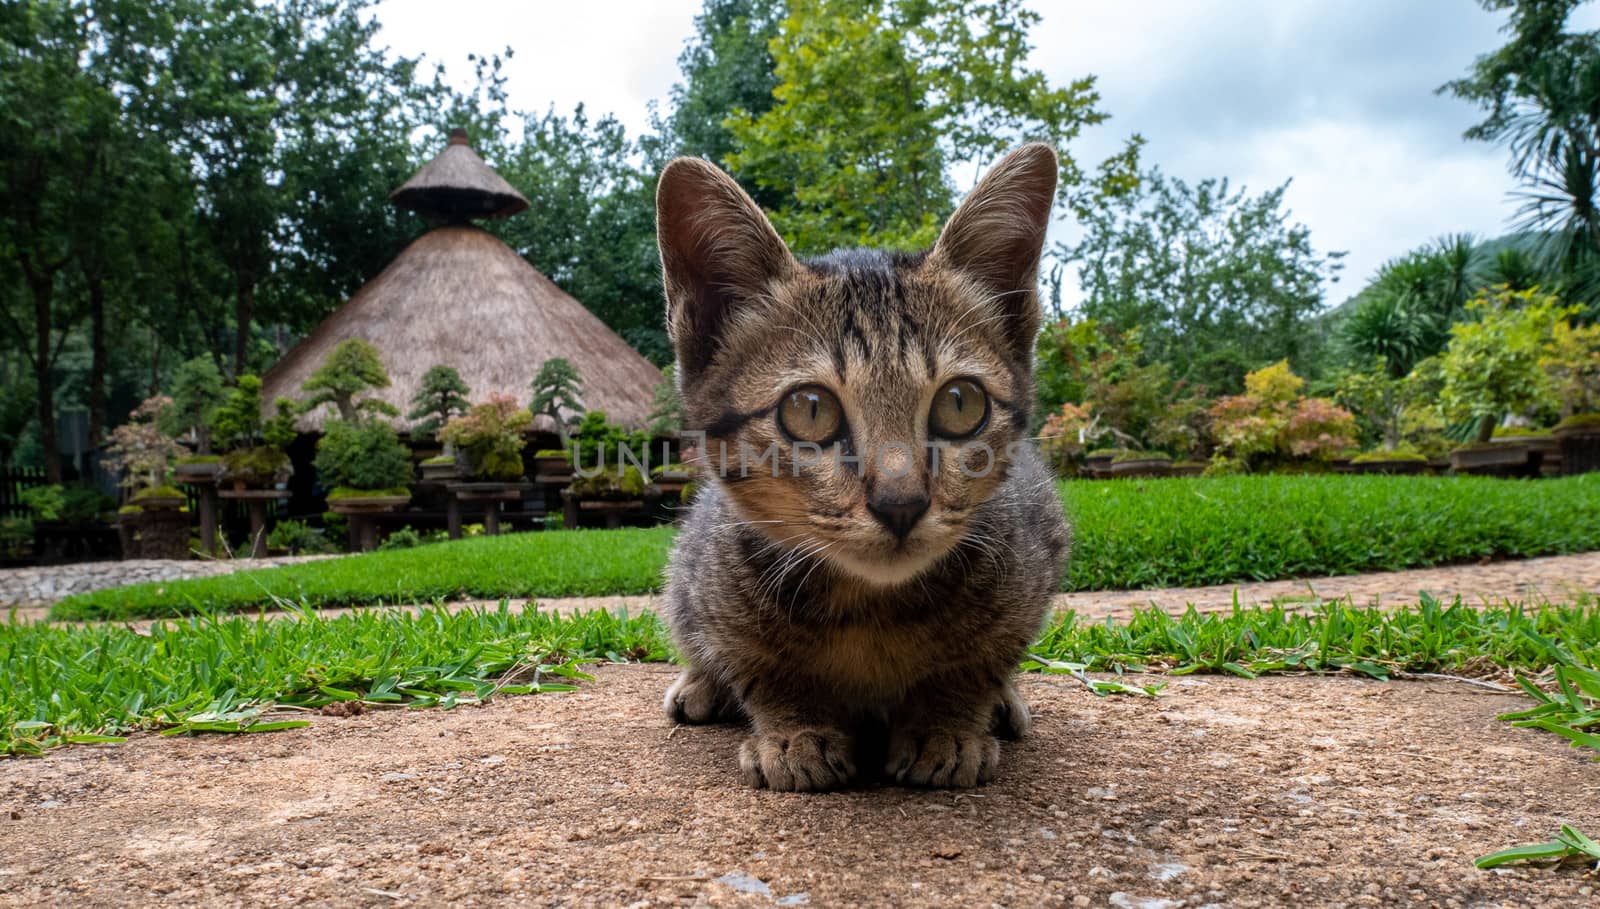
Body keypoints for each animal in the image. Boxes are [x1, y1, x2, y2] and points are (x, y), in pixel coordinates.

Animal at [649, 145, 1075, 790]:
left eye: (961, 404)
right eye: (810, 410)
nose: (901, 503)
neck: (871, 607)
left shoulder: (1028, 574)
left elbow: (978, 662)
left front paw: (946, 727)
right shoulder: (714, 580)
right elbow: (759, 665)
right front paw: (795, 732)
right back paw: (701, 685)